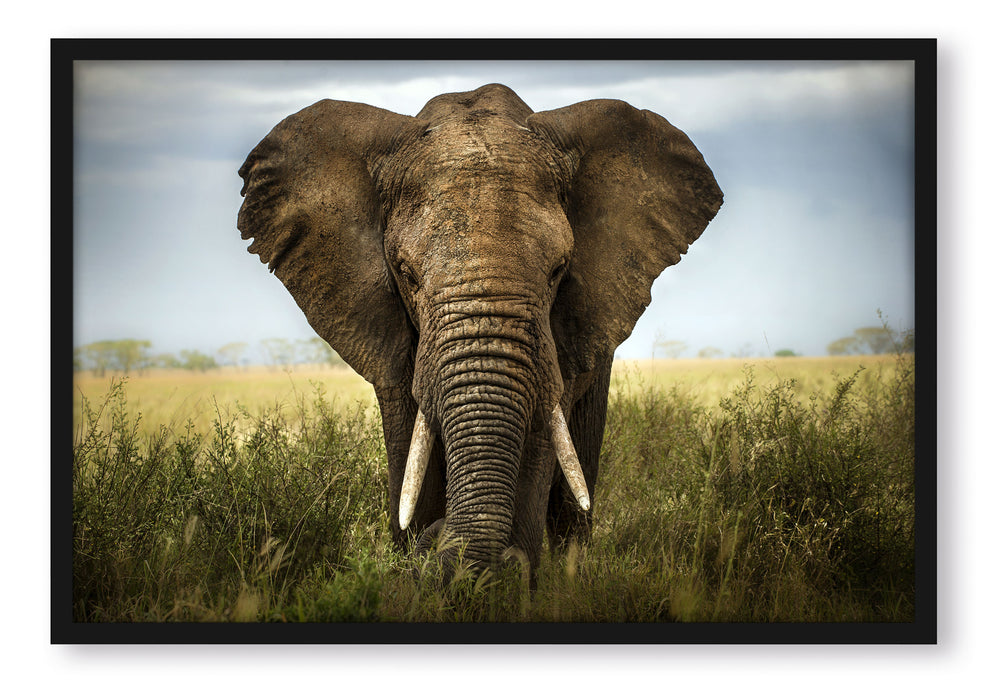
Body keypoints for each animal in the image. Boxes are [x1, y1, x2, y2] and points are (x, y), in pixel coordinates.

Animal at [237, 83, 721, 581]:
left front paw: (507, 578)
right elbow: (410, 447)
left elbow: (539, 438)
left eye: (558, 271)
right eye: (407, 274)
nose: (438, 540)